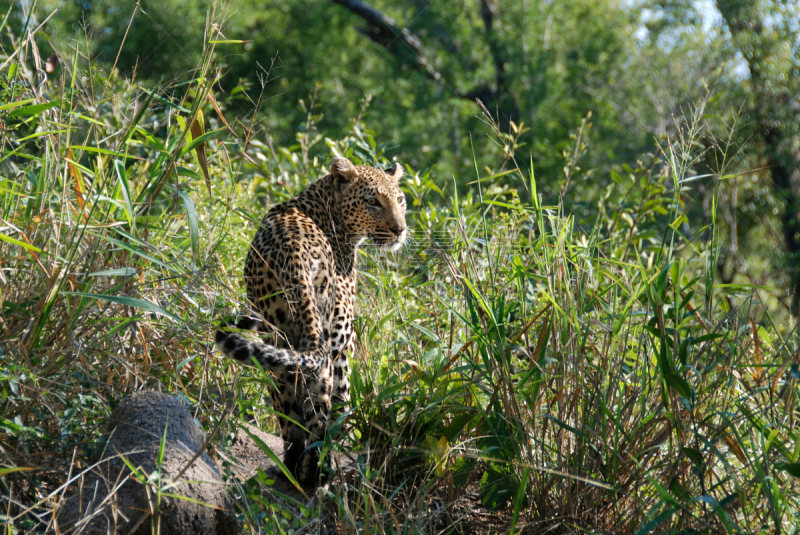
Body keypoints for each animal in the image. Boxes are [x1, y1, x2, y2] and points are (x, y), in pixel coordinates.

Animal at [214, 156, 406, 486]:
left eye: (400, 200)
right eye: (373, 202)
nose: (400, 230)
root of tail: (292, 255)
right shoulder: (344, 338)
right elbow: (341, 400)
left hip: (279, 332)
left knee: (287, 400)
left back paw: (292, 467)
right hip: (331, 338)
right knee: (323, 405)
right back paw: (319, 472)